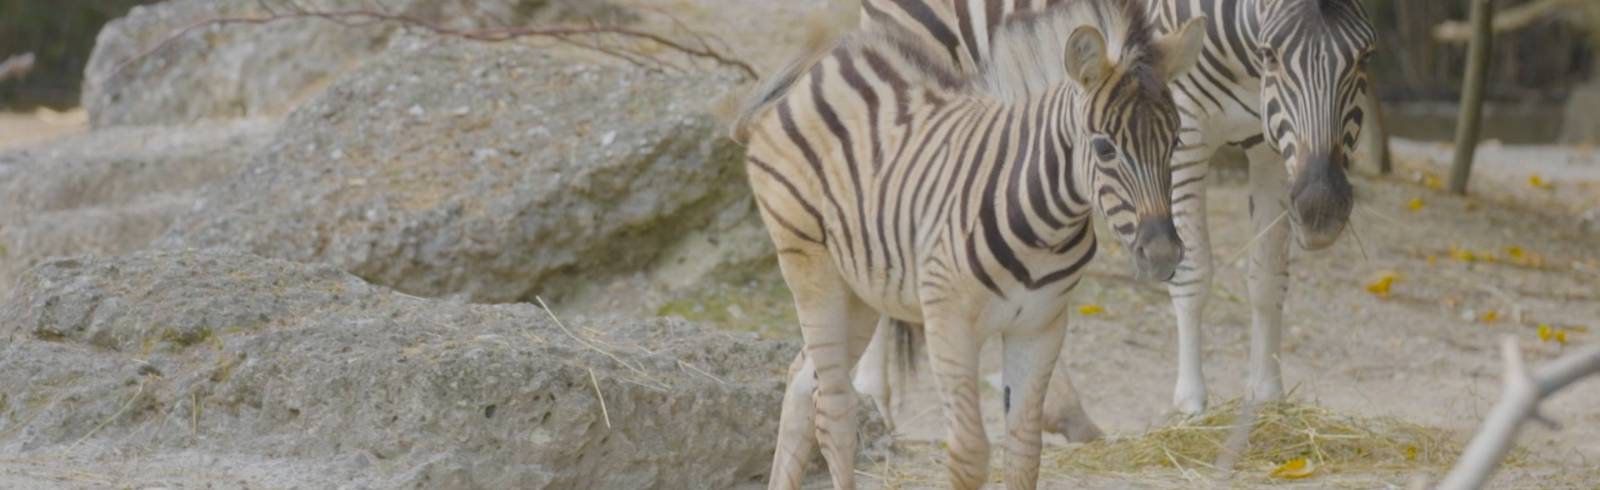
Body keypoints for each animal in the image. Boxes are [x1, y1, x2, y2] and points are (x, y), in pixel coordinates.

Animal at [731, 1, 1205, 487]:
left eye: (1175, 144)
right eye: (1104, 149)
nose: (1164, 255)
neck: (1044, 227)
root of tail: (819, 68)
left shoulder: (1040, 326)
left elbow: (1024, 451)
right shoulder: (950, 322)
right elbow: (971, 453)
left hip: (859, 290)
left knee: (800, 383)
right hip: (811, 269)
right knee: (834, 413)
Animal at [850, 0, 1378, 435]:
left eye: (1365, 58)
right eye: (1271, 54)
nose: (1321, 209)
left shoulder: (1266, 145)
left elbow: (1267, 278)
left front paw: (1268, 397)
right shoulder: (1187, 131)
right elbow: (1193, 273)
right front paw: (1192, 404)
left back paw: (1059, 410)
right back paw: (872, 397)